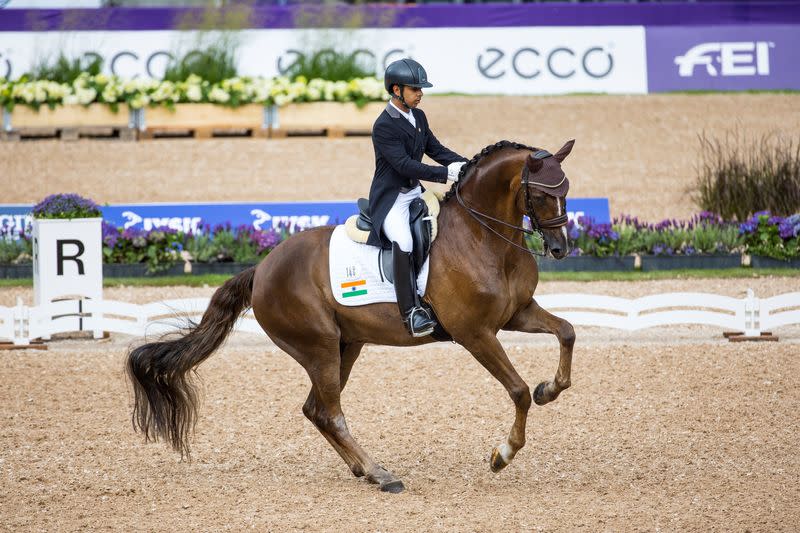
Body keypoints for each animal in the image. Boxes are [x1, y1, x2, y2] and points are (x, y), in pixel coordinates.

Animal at [126, 139, 576, 492]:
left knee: (315, 410)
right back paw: (381, 474)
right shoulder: (475, 333)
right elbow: (517, 390)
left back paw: (363, 468)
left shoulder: (517, 314)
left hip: (347, 344)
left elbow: (567, 332)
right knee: (330, 412)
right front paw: (503, 454)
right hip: (320, 347)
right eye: (540, 194)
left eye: (567, 190)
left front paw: (550, 389)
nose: (559, 249)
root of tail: (263, 268)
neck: (483, 237)